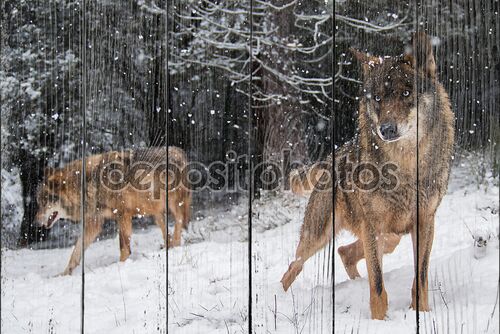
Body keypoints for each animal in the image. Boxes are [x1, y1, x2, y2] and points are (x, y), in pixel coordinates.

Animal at [35, 145, 191, 274]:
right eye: (39, 202)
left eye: (44, 202)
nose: (35, 223)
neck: (89, 185)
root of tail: (180, 151)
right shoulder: (94, 223)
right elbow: (75, 252)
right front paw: (63, 274)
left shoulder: (123, 215)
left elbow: (124, 247)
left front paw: (121, 266)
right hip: (155, 212)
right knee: (166, 232)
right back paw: (168, 247)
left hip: (174, 204)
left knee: (179, 222)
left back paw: (176, 245)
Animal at [280, 32, 456, 320]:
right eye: (378, 99)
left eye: (406, 93)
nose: (387, 129)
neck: (406, 167)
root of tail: (333, 155)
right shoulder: (373, 225)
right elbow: (378, 284)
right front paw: (380, 321)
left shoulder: (425, 222)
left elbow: (420, 278)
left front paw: (422, 313)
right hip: (320, 236)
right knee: (293, 268)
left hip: (390, 236)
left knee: (344, 252)